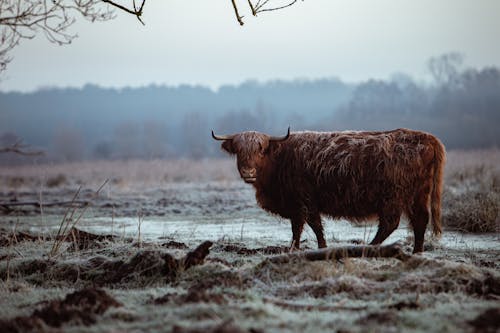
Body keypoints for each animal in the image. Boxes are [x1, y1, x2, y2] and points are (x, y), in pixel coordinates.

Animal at [211, 127, 446, 252]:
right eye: (239, 151)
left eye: (261, 150)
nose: (248, 172)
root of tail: (425, 137)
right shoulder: (303, 203)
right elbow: (307, 227)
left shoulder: (303, 200)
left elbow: (306, 226)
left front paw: (307, 248)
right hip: (419, 194)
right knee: (420, 220)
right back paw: (417, 252)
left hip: (393, 196)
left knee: (391, 223)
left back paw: (369, 247)